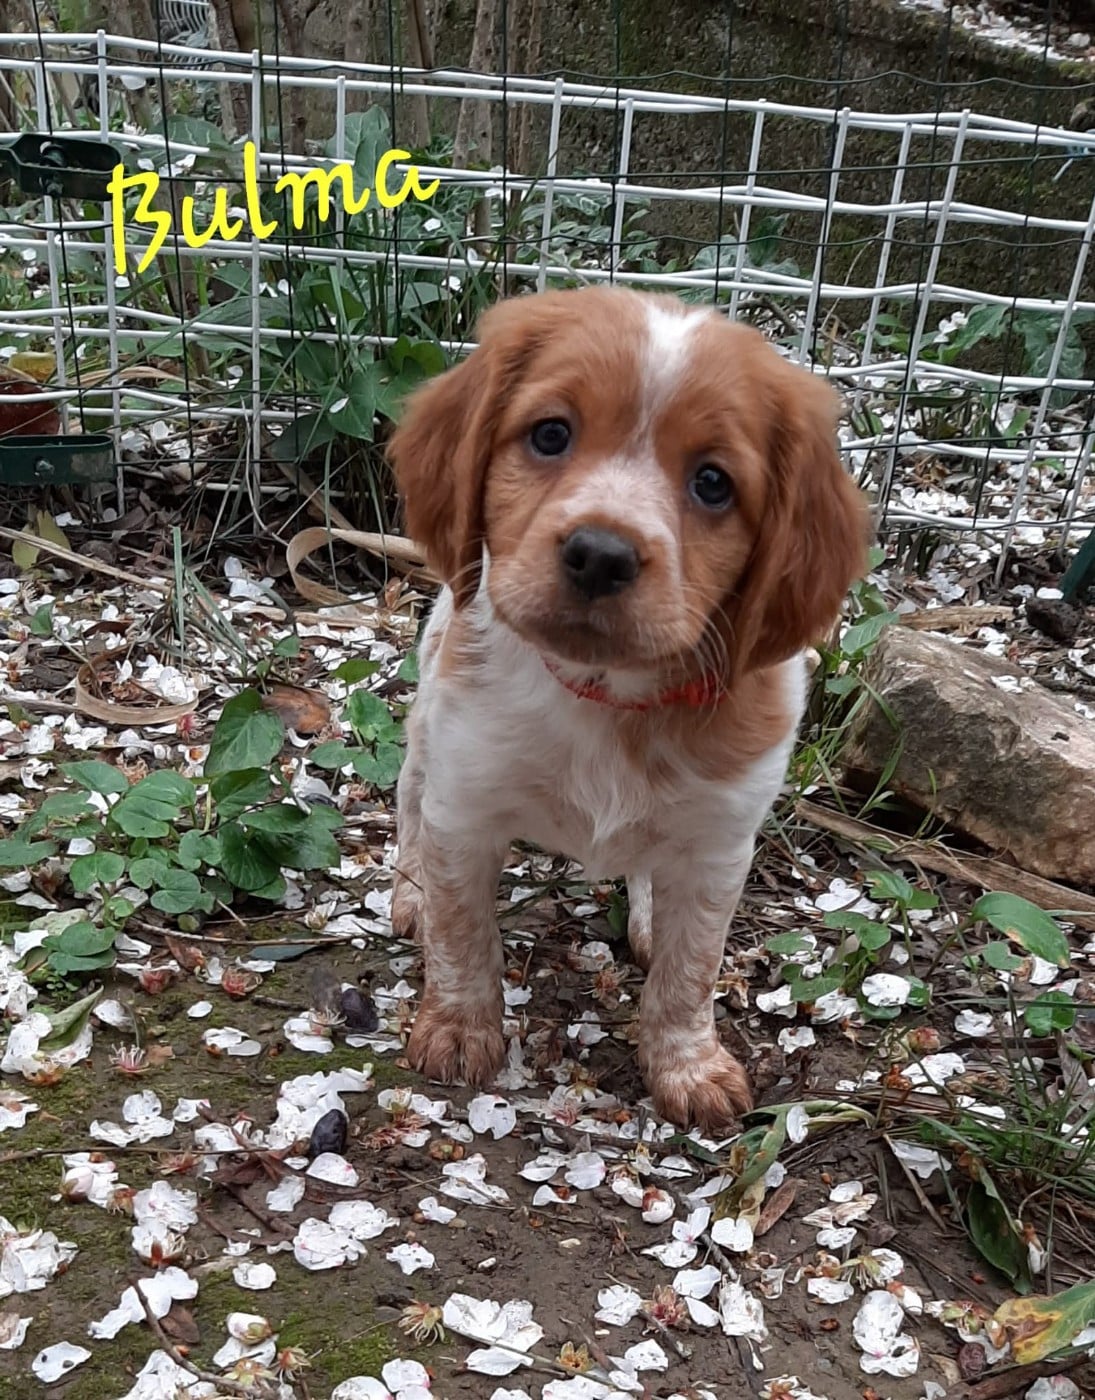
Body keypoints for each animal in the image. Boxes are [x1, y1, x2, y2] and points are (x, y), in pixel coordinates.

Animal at [385, 286, 869, 1132]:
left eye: (712, 483)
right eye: (550, 434)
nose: (599, 554)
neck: (608, 694)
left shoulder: (717, 846)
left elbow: (689, 968)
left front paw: (687, 1067)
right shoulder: (464, 803)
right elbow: (460, 931)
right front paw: (457, 1029)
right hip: (428, 721)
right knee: (409, 803)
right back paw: (407, 891)